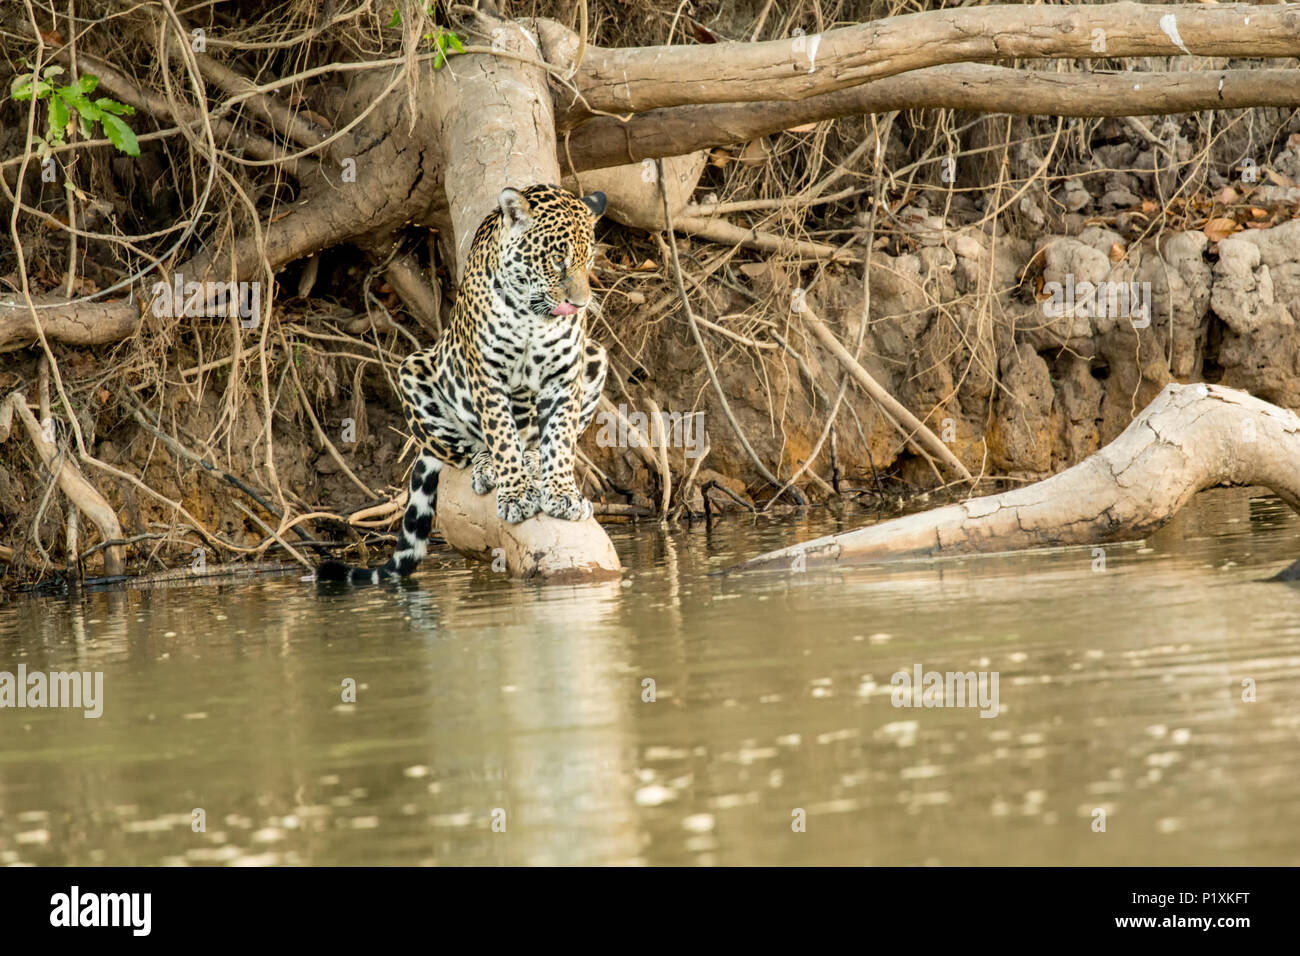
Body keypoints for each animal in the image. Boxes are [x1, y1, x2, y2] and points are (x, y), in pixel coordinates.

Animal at [317, 183, 609, 584]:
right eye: (557, 260)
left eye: (589, 260)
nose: (580, 304)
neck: (534, 316)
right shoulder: (487, 373)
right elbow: (501, 435)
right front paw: (516, 495)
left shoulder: (565, 375)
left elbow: (561, 439)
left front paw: (563, 494)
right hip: (414, 370)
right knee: (463, 449)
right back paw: (488, 467)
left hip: (595, 355)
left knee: (533, 441)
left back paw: (533, 460)